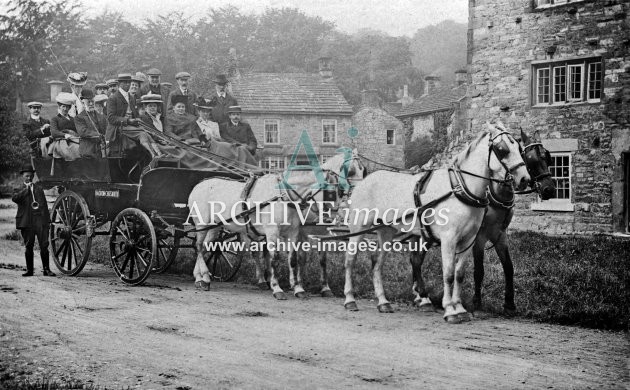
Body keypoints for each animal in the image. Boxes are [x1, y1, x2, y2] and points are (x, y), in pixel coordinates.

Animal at [186, 150, 370, 298]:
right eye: (351, 170)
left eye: (364, 170)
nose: (361, 194)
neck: (285, 195)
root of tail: (199, 184)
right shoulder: (274, 232)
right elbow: (276, 258)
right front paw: (278, 288)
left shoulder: (296, 232)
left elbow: (296, 259)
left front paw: (299, 288)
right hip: (202, 223)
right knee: (200, 246)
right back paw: (202, 278)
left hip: (215, 226)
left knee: (207, 246)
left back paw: (202, 277)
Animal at [340, 121, 528, 322]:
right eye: (502, 149)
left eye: (519, 146)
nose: (524, 179)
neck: (459, 189)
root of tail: (364, 181)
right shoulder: (449, 239)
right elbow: (448, 274)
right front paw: (450, 310)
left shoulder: (469, 240)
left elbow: (459, 274)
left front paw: (460, 308)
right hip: (359, 227)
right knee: (350, 260)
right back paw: (350, 299)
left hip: (387, 231)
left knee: (377, 262)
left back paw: (383, 302)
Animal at [412, 126, 556, 316]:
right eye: (529, 158)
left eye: (547, 157)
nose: (549, 189)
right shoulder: (478, 237)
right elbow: (479, 270)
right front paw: (476, 301)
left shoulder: (500, 235)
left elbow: (508, 267)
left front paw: (509, 303)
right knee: (416, 259)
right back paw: (421, 295)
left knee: (415, 258)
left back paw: (418, 293)